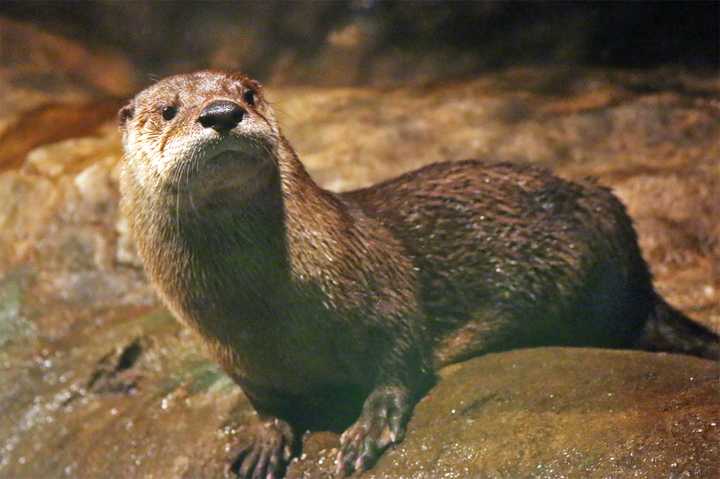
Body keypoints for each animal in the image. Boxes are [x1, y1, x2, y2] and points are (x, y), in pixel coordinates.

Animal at [118, 69, 720, 478]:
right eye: (168, 109)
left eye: (247, 93)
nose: (221, 112)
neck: (264, 307)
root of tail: (640, 272)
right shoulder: (231, 352)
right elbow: (264, 402)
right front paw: (264, 441)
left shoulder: (384, 289)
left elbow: (401, 356)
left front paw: (368, 428)